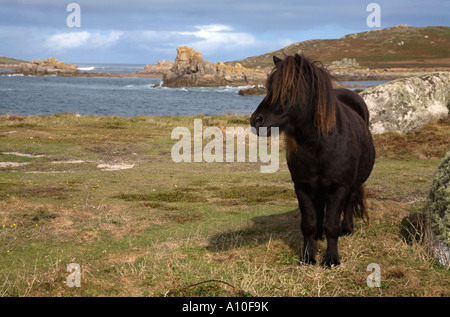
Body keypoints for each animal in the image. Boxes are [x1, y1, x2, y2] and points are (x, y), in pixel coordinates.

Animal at [251, 53, 374, 266]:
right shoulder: (302, 186)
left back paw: (347, 229)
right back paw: (318, 234)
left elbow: (332, 225)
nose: (256, 120)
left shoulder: (338, 186)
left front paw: (331, 259)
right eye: (269, 86)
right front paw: (308, 256)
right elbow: (308, 223)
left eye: (289, 88)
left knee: (349, 202)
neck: (319, 145)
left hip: (352, 184)